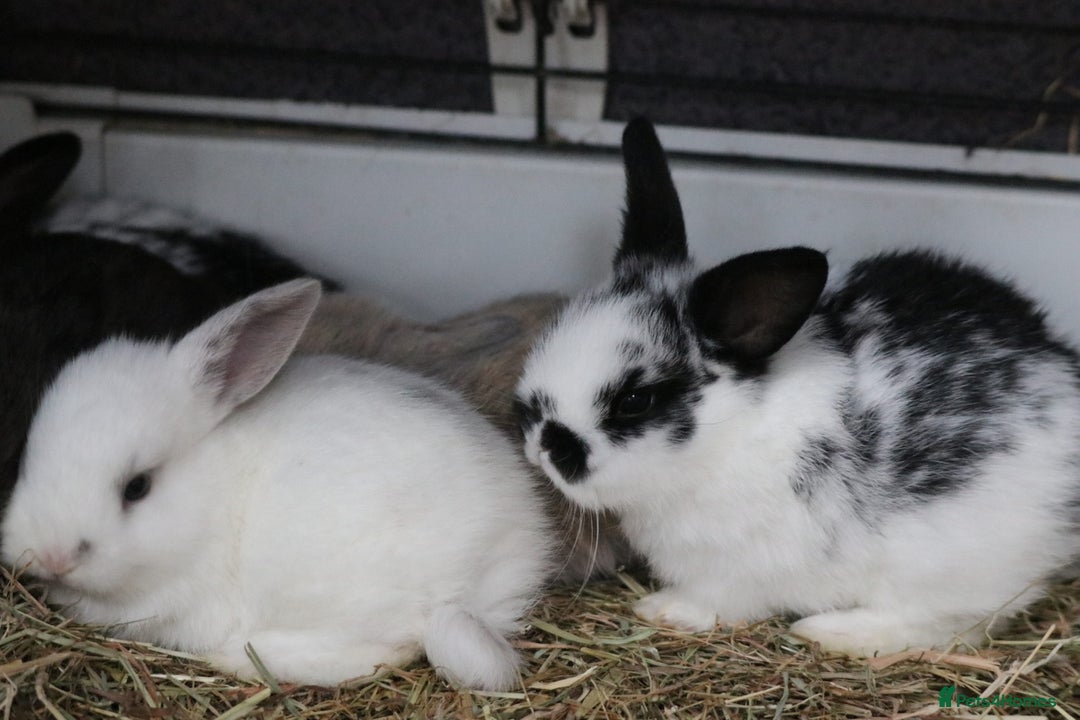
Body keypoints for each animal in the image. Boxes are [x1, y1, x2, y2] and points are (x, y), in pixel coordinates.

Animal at [1, 279, 554, 690]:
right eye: (28, 454)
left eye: (137, 487)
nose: (51, 556)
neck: (213, 492)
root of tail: (511, 556)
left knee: (389, 648)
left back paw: (238, 657)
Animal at [514, 117, 1080, 656]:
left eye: (635, 400)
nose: (545, 444)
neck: (729, 431)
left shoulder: (733, 570)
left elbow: (714, 600)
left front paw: (662, 610)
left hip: (947, 567)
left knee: (949, 626)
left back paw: (829, 632)